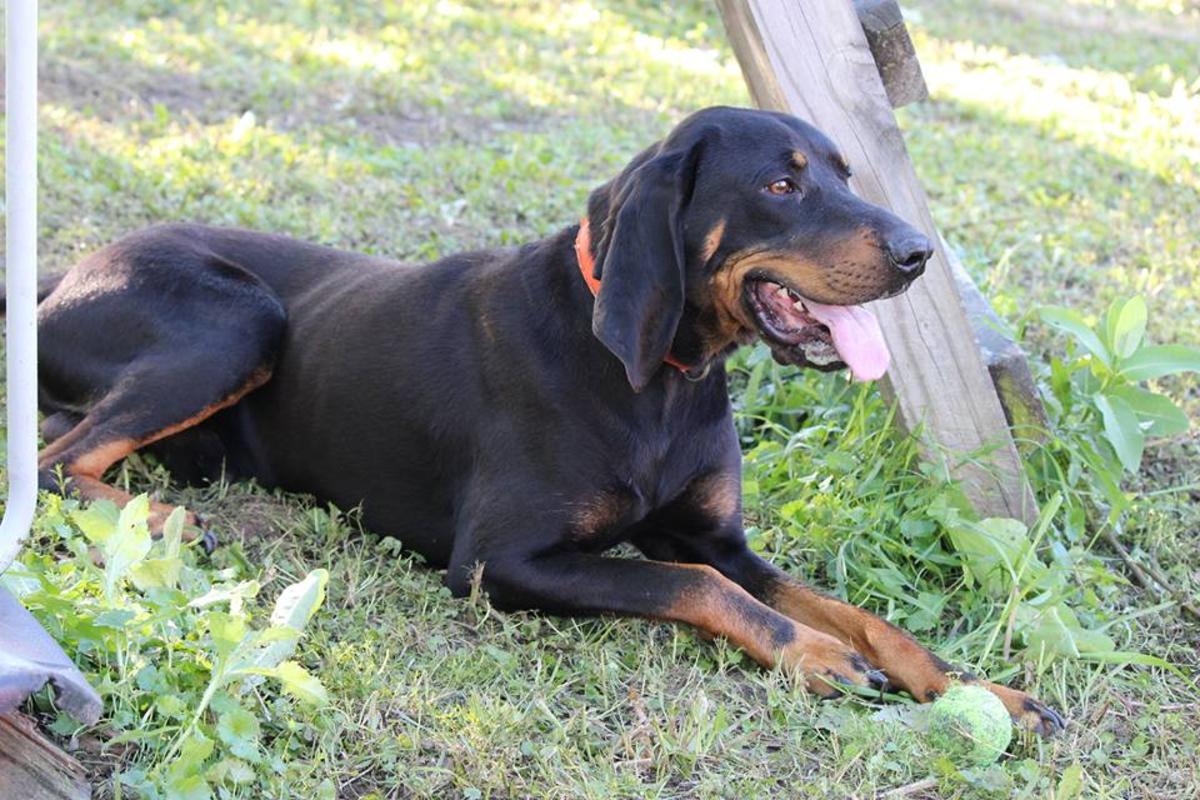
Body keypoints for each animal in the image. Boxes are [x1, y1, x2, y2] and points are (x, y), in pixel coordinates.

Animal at [37, 107, 1065, 738]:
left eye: (847, 172)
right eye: (782, 185)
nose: (919, 253)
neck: (659, 378)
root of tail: (64, 275)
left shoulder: (716, 536)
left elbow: (854, 613)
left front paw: (982, 692)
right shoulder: (500, 560)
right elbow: (693, 587)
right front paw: (811, 654)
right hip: (243, 319)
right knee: (55, 459)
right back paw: (162, 518)